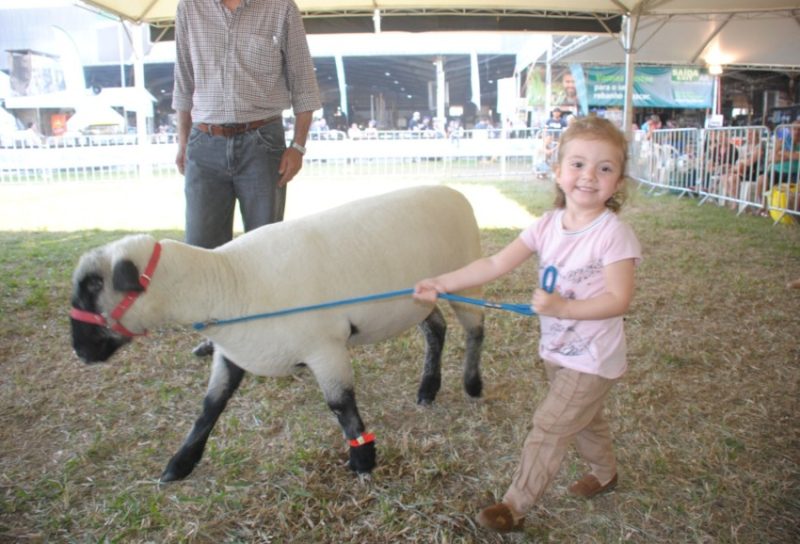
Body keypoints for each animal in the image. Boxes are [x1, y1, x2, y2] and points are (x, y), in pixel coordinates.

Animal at [70, 186, 482, 480]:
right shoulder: (232, 354)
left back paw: (472, 385)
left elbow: (341, 406)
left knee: (476, 330)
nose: (79, 352)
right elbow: (210, 407)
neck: (226, 280)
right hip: (418, 299)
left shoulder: (325, 348)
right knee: (436, 330)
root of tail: (455, 192)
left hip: (465, 280)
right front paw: (181, 463)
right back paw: (428, 388)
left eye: (94, 286)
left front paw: (363, 458)